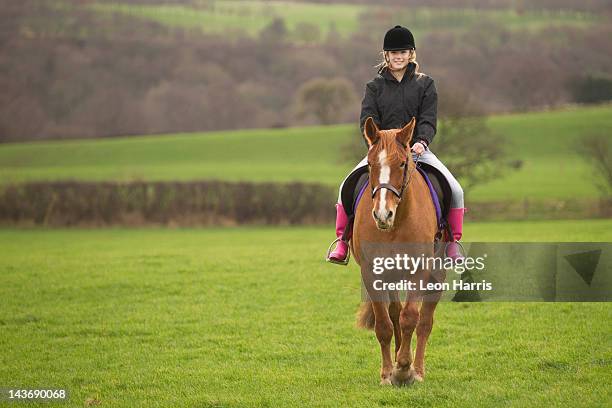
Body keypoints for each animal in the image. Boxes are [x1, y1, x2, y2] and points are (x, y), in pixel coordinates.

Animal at [352, 117, 442, 386]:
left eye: (402, 163)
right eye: (370, 164)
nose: (383, 214)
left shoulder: (420, 270)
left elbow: (411, 317)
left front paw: (404, 368)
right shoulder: (372, 273)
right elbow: (384, 324)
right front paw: (387, 373)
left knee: (424, 321)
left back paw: (418, 370)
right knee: (394, 314)